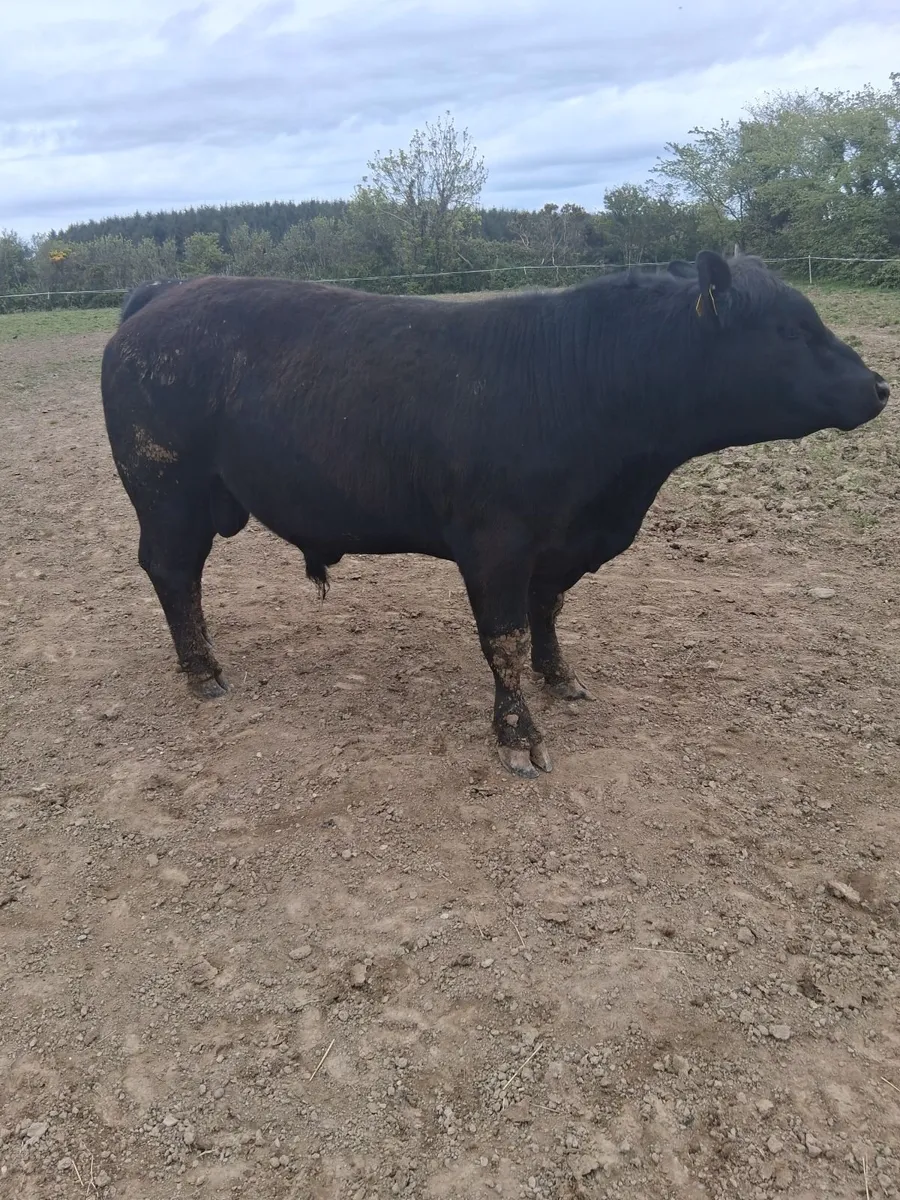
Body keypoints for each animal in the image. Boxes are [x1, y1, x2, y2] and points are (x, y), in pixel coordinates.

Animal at [101, 252, 890, 777]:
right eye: (789, 331)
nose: (880, 386)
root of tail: (165, 292)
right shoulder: (496, 545)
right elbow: (502, 640)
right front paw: (518, 736)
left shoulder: (558, 543)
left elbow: (548, 612)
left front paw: (560, 676)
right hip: (168, 492)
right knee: (173, 573)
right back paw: (203, 671)